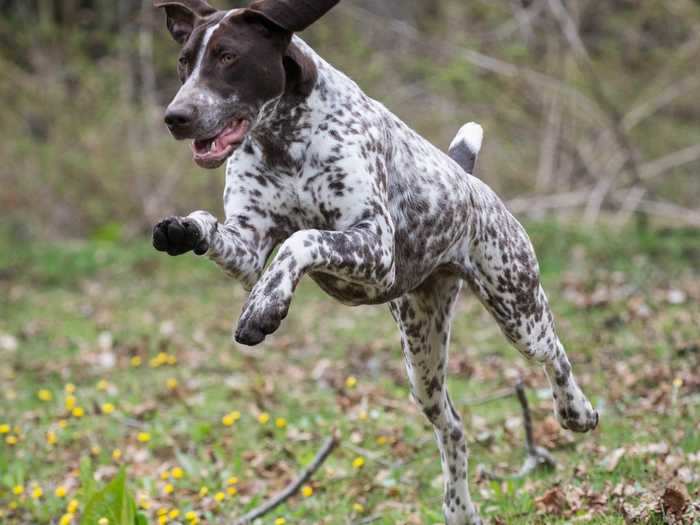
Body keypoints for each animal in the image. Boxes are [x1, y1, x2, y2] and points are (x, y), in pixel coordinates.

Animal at [152, 2, 596, 520]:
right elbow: (222, 229)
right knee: (453, 427)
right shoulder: (248, 244)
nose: (176, 116)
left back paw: (576, 411)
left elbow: (300, 240)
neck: (284, 140)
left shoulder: (376, 249)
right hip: (422, 360)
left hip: (518, 309)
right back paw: (459, 509)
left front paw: (264, 307)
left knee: (555, 355)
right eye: (184, 62)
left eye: (228, 57)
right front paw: (186, 229)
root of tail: (466, 178)